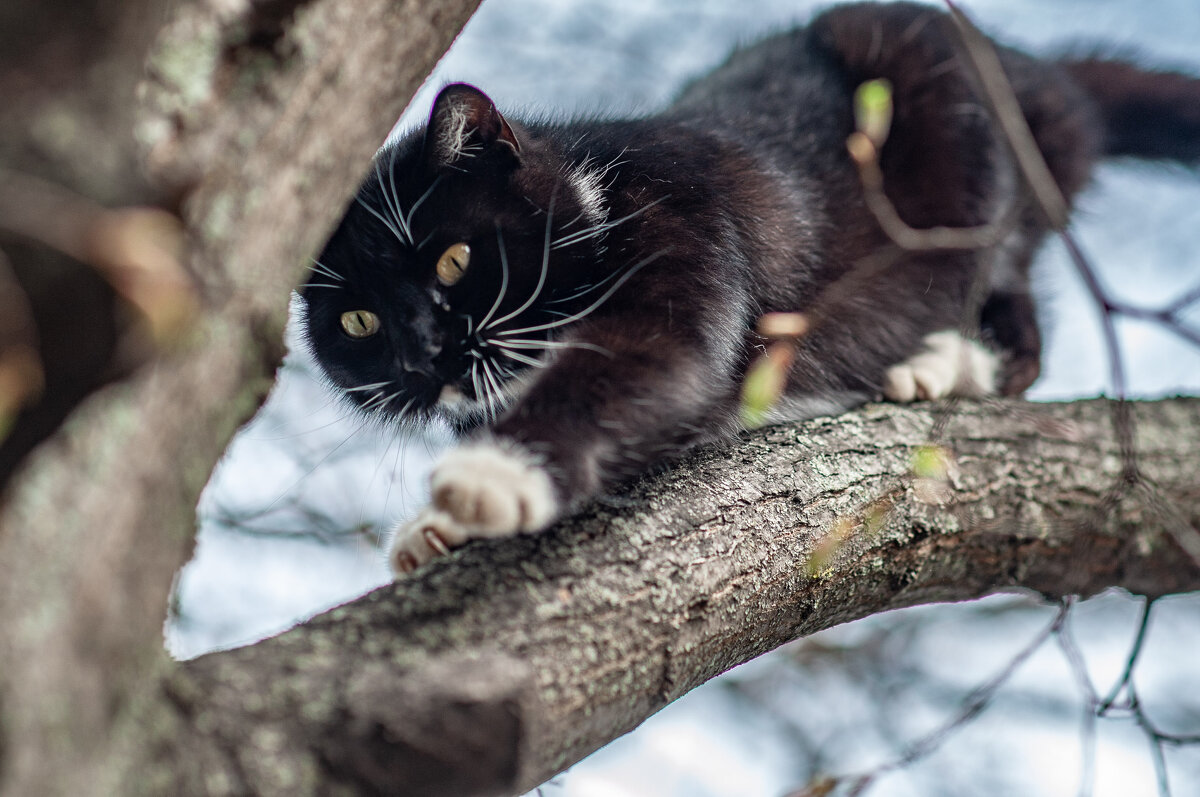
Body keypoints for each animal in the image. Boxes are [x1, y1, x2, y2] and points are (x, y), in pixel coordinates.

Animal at [300, 0, 1200, 573]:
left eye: (454, 259)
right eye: (357, 322)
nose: (424, 350)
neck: (593, 190)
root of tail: (1035, 72)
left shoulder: (685, 224)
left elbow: (644, 361)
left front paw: (489, 479)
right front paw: (434, 530)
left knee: (1016, 312)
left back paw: (945, 363)